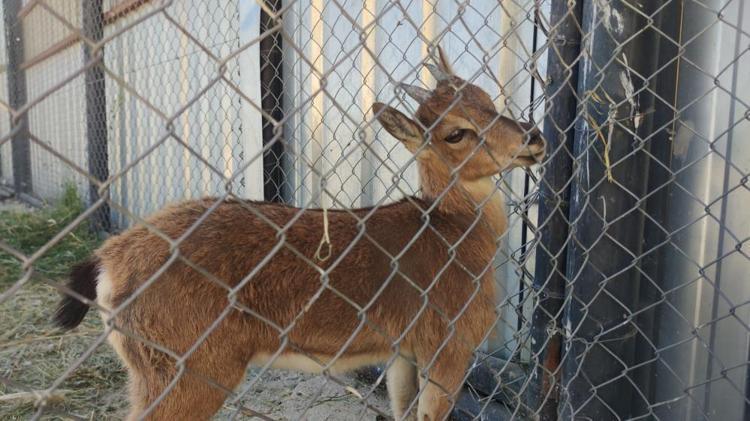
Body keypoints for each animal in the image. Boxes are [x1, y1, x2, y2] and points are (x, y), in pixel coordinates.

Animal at [54, 46, 548, 420]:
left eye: (490, 99)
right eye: (456, 133)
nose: (533, 137)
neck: (454, 237)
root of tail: (105, 263)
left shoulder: (403, 349)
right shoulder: (451, 342)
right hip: (188, 366)